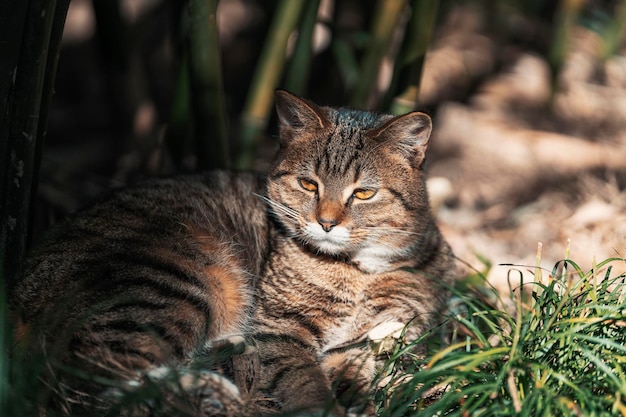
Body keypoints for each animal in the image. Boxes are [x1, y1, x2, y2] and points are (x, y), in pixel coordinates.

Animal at [11, 91, 454, 416]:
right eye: (308, 184)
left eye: (363, 193)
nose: (327, 223)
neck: (364, 271)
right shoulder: (277, 331)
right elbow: (305, 379)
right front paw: (323, 406)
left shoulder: (379, 340)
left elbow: (362, 370)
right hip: (174, 282)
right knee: (98, 381)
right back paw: (212, 390)